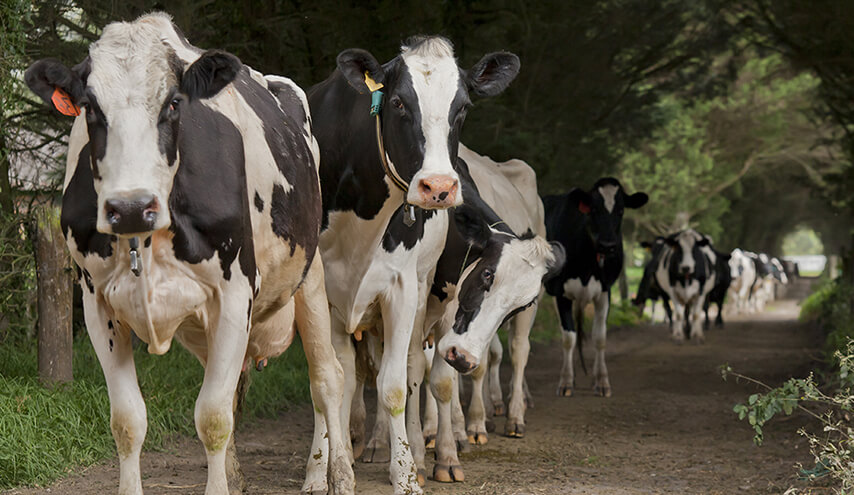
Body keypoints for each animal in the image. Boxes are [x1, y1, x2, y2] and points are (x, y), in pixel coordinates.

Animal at [23, 10, 352, 495]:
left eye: (174, 103)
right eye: (90, 107)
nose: (130, 207)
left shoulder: (235, 293)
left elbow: (212, 417)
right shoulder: (96, 302)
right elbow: (128, 421)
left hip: (309, 276)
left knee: (326, 379)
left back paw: (333, 475)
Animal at [308, 35, 520, 495]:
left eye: (463, 107)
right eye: (398, 102)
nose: (437, 187)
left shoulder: (402, 289)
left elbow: (393, 386)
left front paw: (405, 473)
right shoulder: (317, 294)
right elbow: (330, 382)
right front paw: (327, 472)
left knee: (412, 370)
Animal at [540, 178, 648, 400]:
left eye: (621, 210)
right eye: (594, 209)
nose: (607, 245)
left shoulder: (605, 292)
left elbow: (599, 338)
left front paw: (602, 381)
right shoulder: (559, 292)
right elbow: (568, 338)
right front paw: (566, 382)